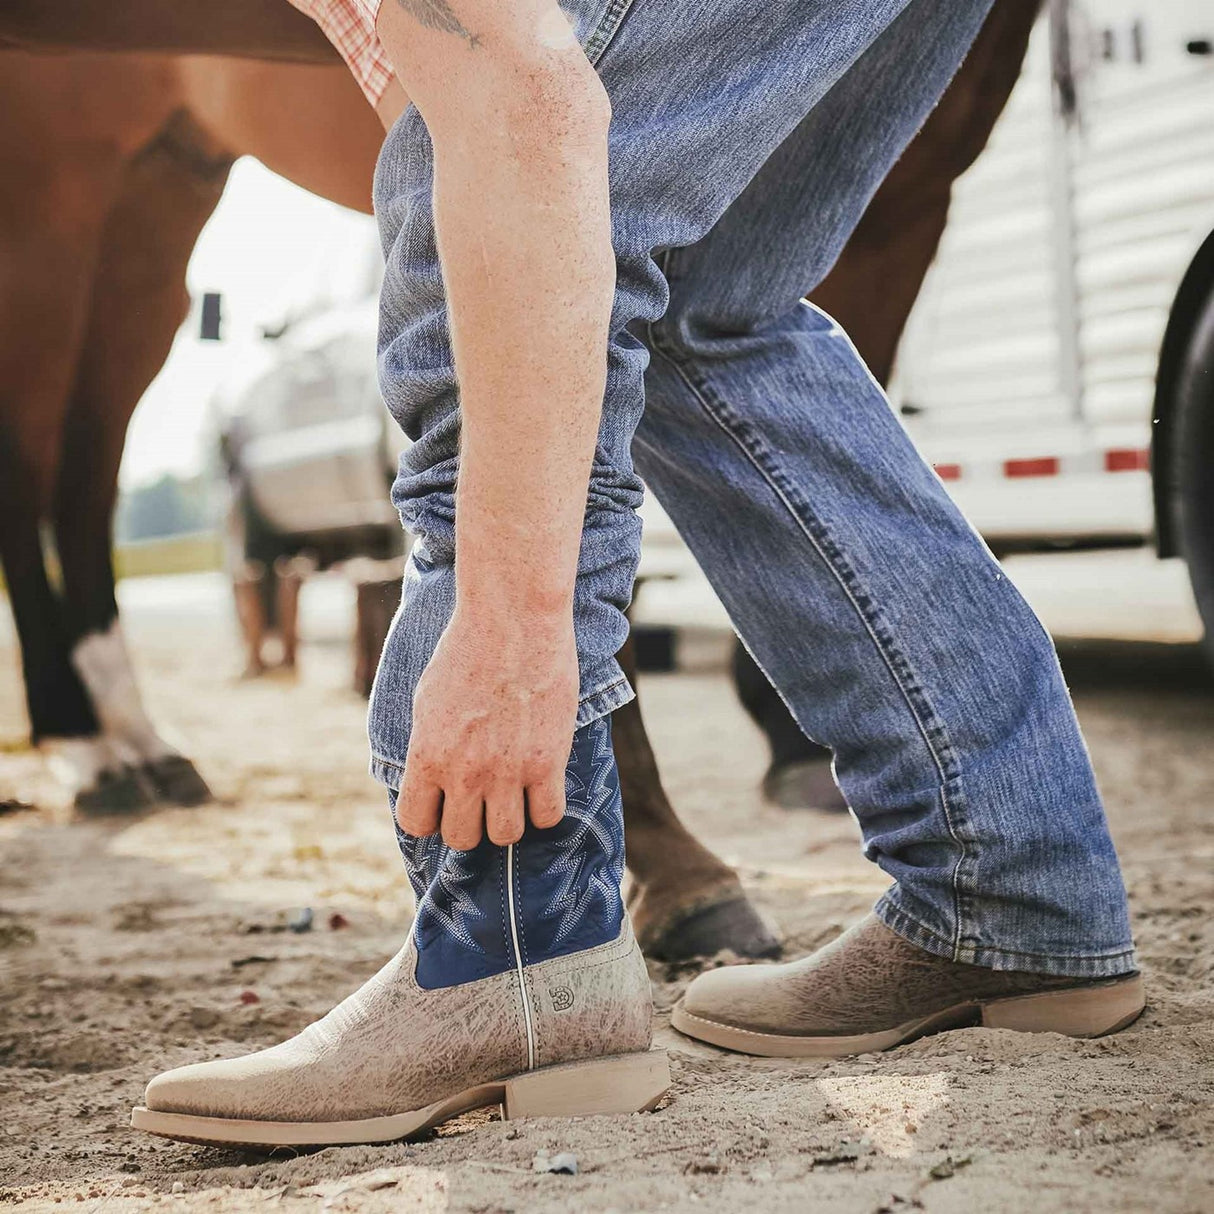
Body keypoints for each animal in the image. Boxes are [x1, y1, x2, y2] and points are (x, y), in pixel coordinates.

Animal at [0, 0, 1044, 961]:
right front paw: (668, 867)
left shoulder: (904, 193)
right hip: (57, 175)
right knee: (32, 459)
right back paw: (87, 749)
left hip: (156, 189)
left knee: (85, 470)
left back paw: (136, 743)